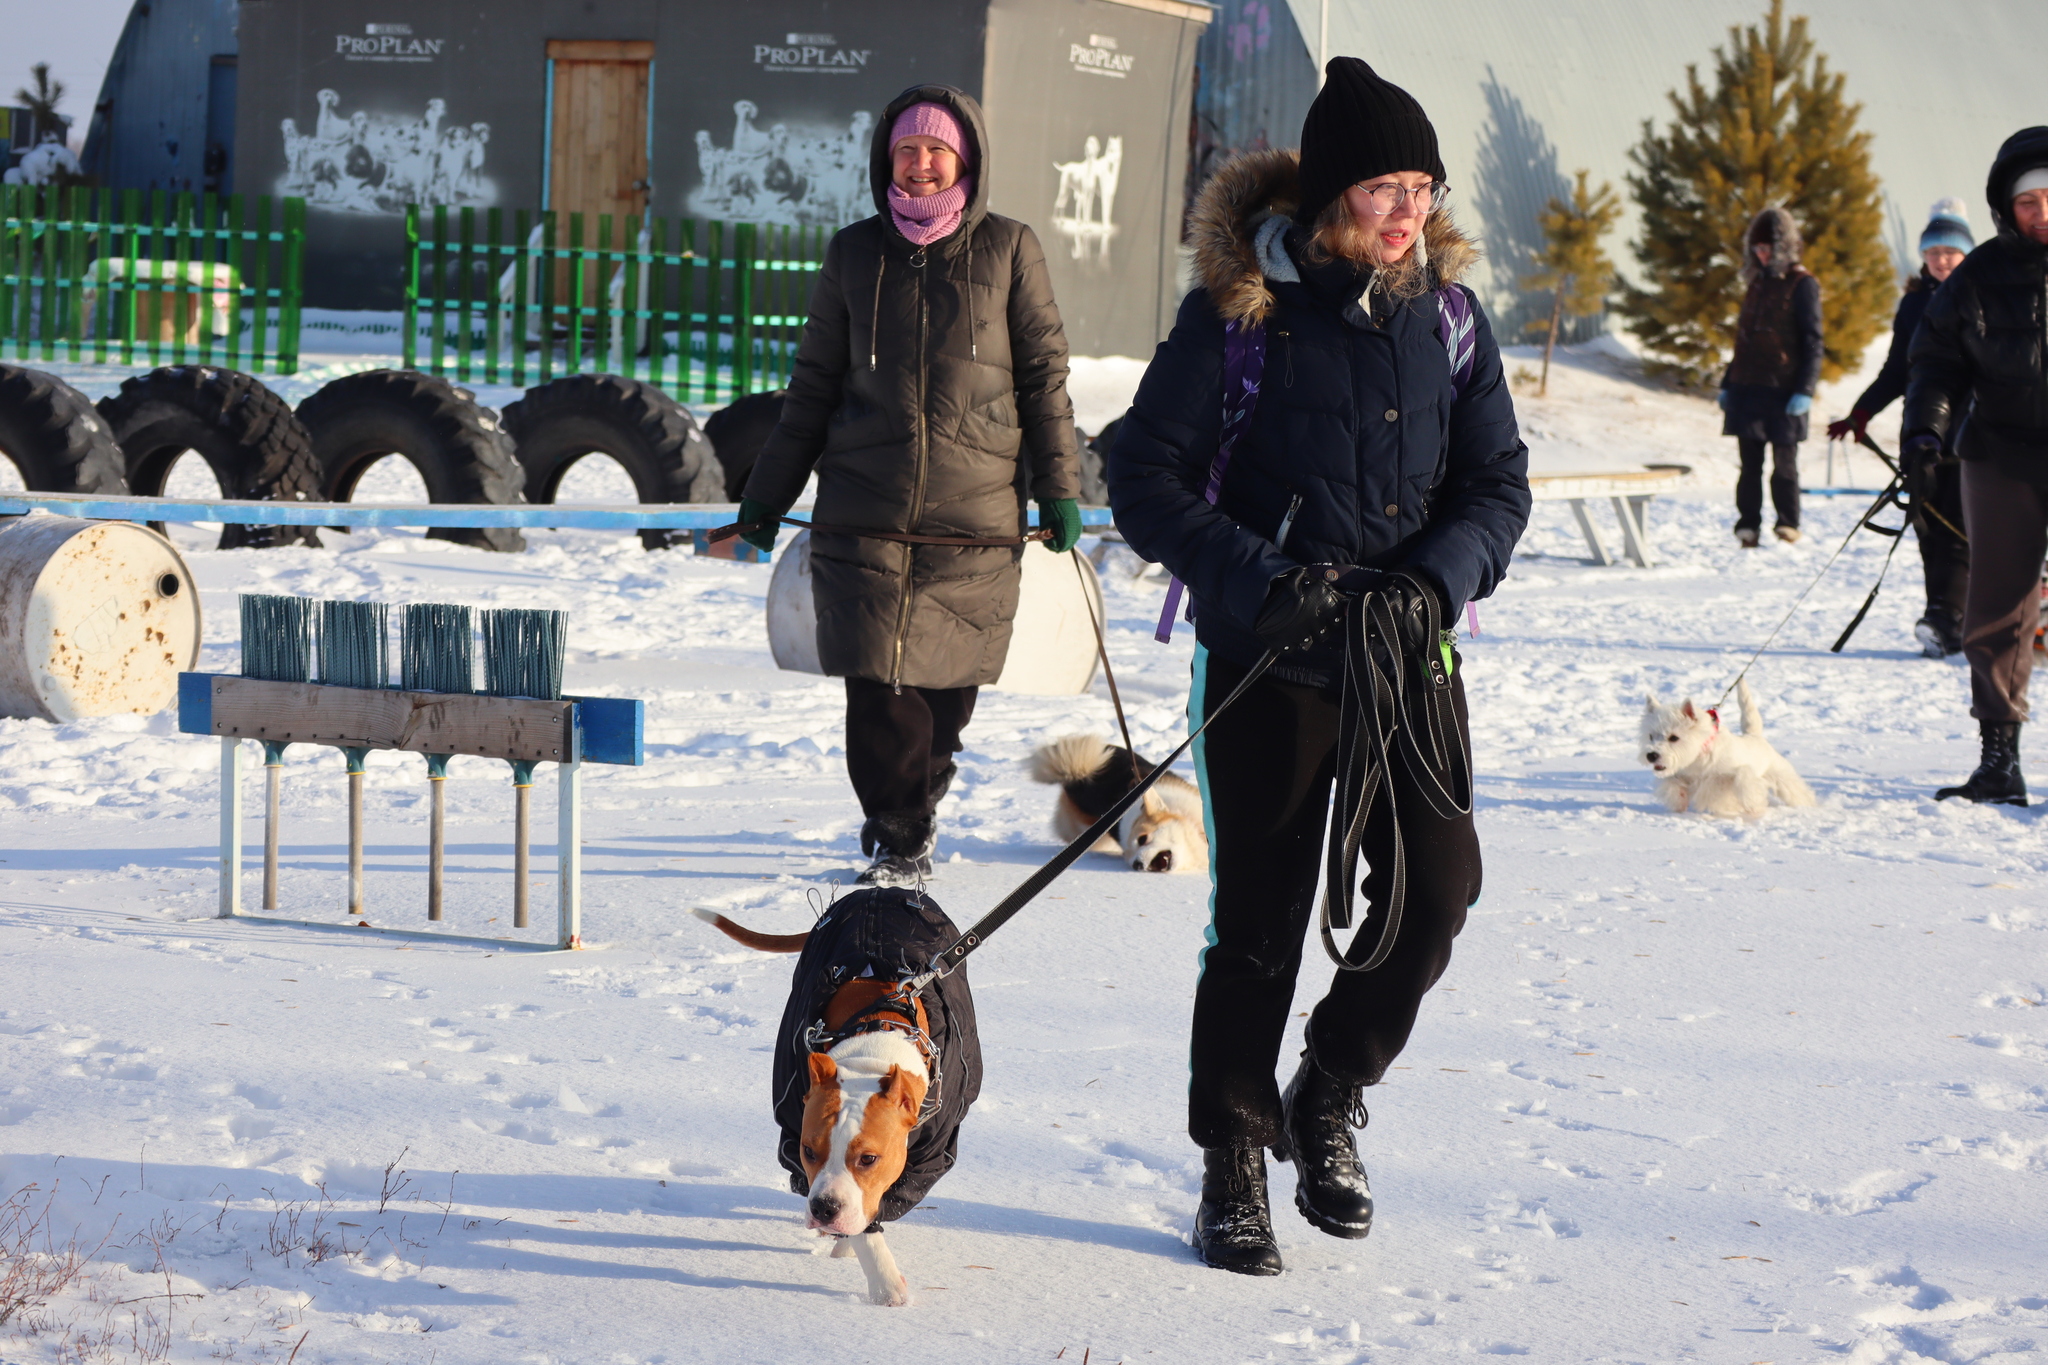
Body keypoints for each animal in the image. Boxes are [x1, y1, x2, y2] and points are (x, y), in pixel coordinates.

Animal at [1638, 679, 1818, 818]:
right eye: (1651, 736)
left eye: (1674, 737)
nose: (1651, 755)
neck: (1698, 759)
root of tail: (1755, 736)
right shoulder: (1680, 774)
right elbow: (1671, 783)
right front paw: (1679, 801)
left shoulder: (1738, 773)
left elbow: (1744, 784)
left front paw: (1754, 807)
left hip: (1780, 774)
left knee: (1796, 791)